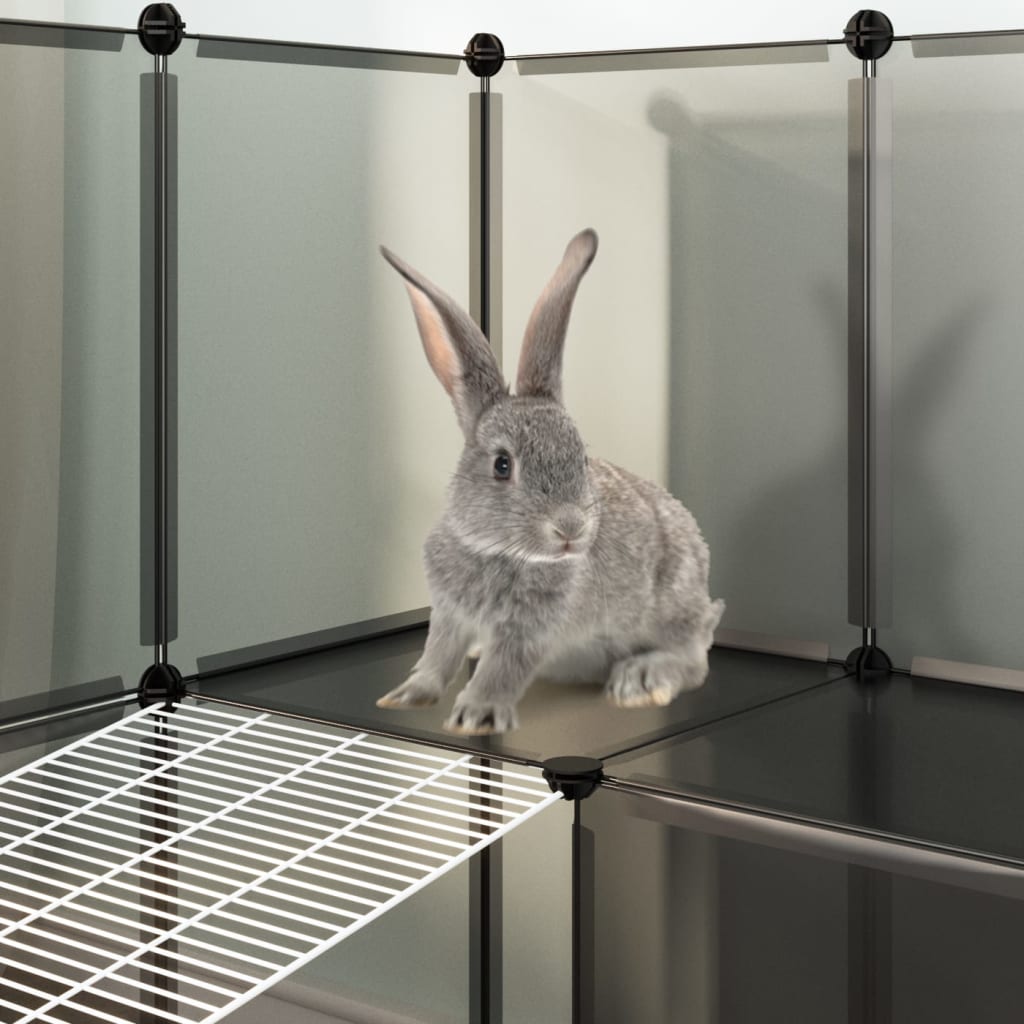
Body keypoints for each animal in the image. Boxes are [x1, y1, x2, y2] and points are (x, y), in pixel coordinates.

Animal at [377, 228, 724, 735]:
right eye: (503, 465)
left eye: (580, 456)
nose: (571, 528)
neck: (497, 551)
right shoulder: (449, 615)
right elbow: (437, 656)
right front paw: (404, 697)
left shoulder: (531, 629)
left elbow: (503, 667)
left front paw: (476, 716)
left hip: (672, 603)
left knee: (693, 660)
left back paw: (639, 681)